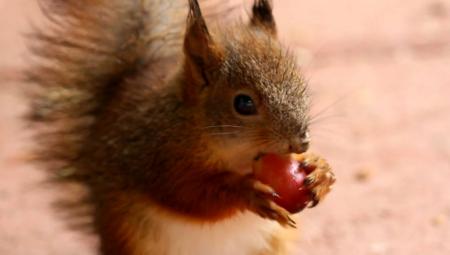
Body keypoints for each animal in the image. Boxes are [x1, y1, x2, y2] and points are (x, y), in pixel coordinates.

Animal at [25, 0, 334, 255]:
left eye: (300, 81)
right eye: (243, 103)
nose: (301, 142)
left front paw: (321, 171)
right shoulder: (157, 156)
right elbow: (189, 195)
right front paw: (247, 192)